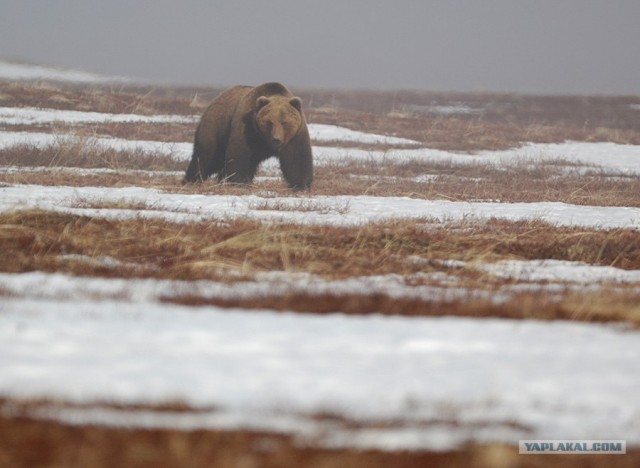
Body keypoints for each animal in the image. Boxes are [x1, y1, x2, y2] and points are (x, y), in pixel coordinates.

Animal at [184, 81, 314, 189]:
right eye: (269, 122)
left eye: (284, 122)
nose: (276, 139)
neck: (263, 139)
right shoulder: (248, 130)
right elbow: (240, 155)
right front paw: (239, 182)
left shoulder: (295, 136)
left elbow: (297, 159)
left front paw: (301, 184)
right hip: (215, 128)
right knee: (206, 157)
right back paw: (191, 179)